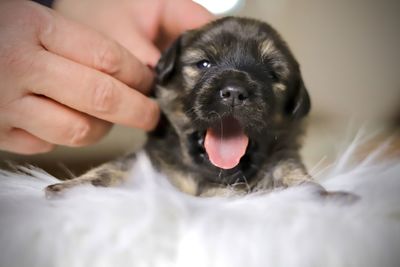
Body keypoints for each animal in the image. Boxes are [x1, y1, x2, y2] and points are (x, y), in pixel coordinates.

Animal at [45, 16, 318, 197]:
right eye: (204, 64)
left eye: (272, 75)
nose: (234, 92)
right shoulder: (150, 162)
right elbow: (112, 168)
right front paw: (69, 189)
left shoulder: (284, 159)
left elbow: (294, 177)